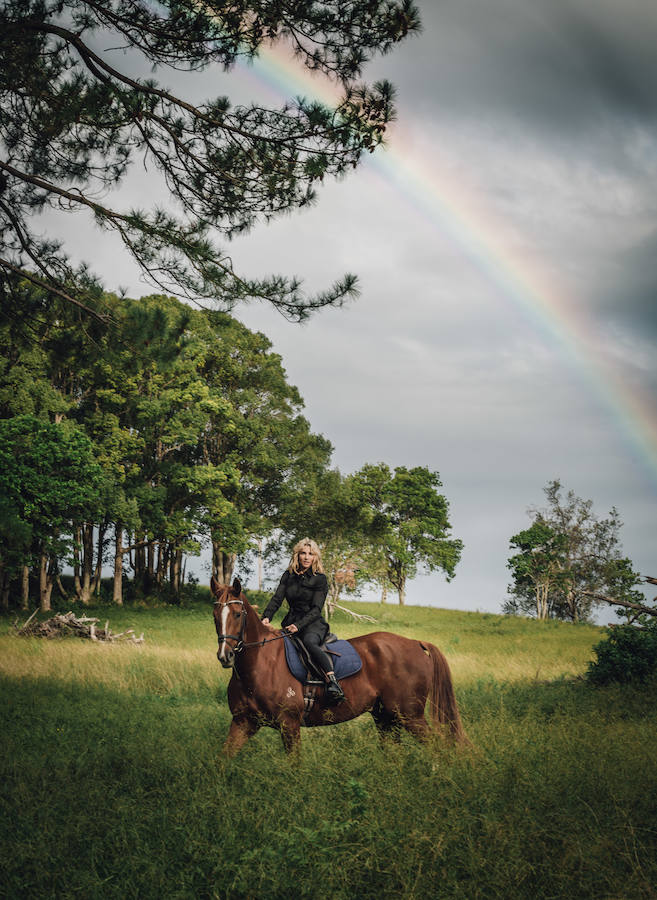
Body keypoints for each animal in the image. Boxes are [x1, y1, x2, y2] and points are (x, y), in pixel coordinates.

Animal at [211, 576, 466, 752]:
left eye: (237, 614)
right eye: (215, 616)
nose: (226, 656)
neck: (259, 666)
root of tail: (415, 643)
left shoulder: (289, 725)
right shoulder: (243, 723)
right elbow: (222, 760)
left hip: (410, 716)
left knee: (437, 747)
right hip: (386, 718)